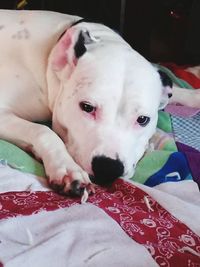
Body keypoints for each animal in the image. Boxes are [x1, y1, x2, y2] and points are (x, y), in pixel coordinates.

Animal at [0, 9, 198, 198]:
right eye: (87, 107)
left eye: (142, 119)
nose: (108, 168)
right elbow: (43, 130)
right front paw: (67, 167)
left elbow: (174, 89)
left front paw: (194, 95)